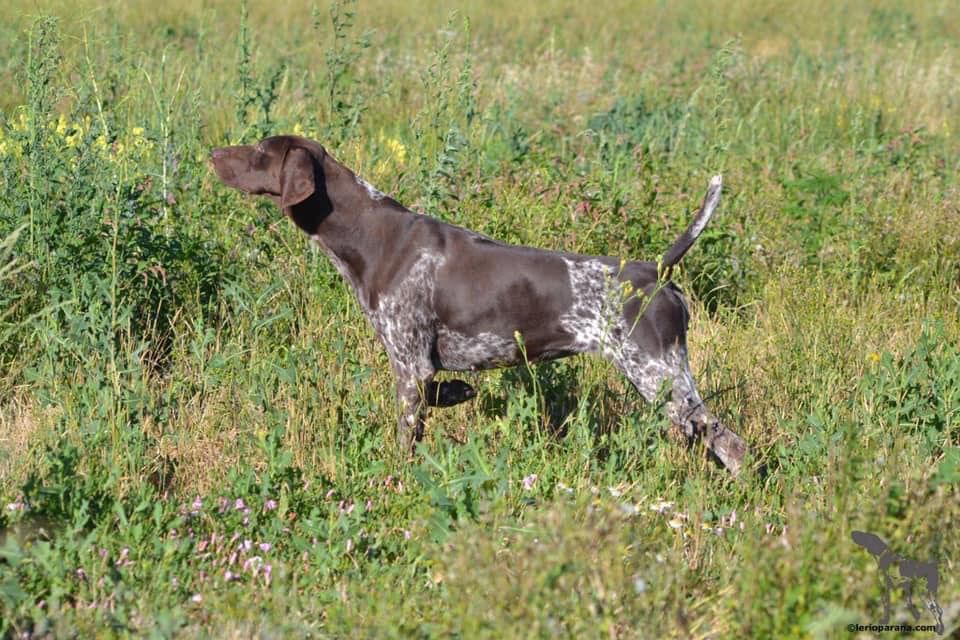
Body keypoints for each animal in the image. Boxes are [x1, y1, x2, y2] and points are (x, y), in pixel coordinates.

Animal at [214, 136, 752, 476]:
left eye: (260, 151)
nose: (214, 153)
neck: (368, 234)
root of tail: (654, 271)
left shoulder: (408, 365)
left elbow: (407, 438)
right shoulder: (422, 368)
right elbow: (444, 391)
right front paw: (458, 393)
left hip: (658, 374)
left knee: (731, 443)